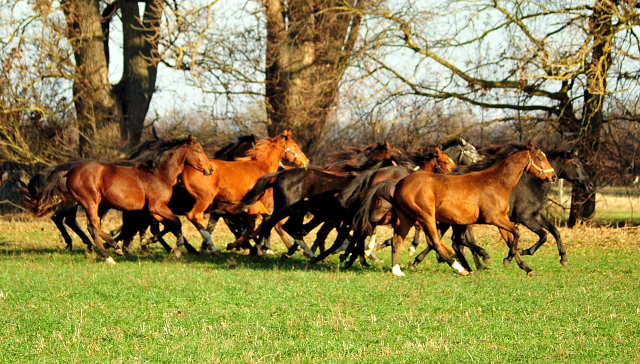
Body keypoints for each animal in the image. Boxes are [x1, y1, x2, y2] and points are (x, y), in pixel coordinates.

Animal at [65, 135, 211, 264]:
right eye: (198, 151)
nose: (210, 169)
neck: (159, 174)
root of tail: (69, 173)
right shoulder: (157, 206)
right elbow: (176, 221)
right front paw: (178, 249)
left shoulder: (151, 211)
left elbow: (169, 224)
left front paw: (148, 241)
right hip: (90, 202)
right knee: (92, 227)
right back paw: (107, 256)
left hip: (99, 205)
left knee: (95, 226)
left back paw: (115, 247)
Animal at [360, 141, 560, 276]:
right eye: (540, 158)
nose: (554, 177)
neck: (496, 182)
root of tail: (399, 183)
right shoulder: (494, 218)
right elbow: (517, 233)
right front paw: (501, 259)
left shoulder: (502, 219)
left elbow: (512, 239)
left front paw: (525, 267)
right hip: (426, 216)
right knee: (435, 242)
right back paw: (460, 268)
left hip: (407, 218)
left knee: (397, 241)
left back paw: (397, 270)